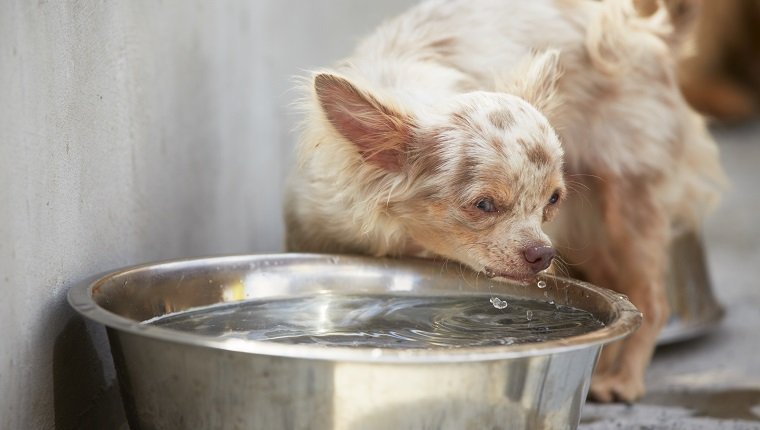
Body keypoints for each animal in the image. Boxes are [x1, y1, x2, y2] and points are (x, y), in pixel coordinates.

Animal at [284, 0, 724, 404]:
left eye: (551, 200)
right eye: (483, 205)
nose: (542, 253)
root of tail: (649, 33)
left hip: (626, 200)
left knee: (651, 298)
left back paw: (622, 380)